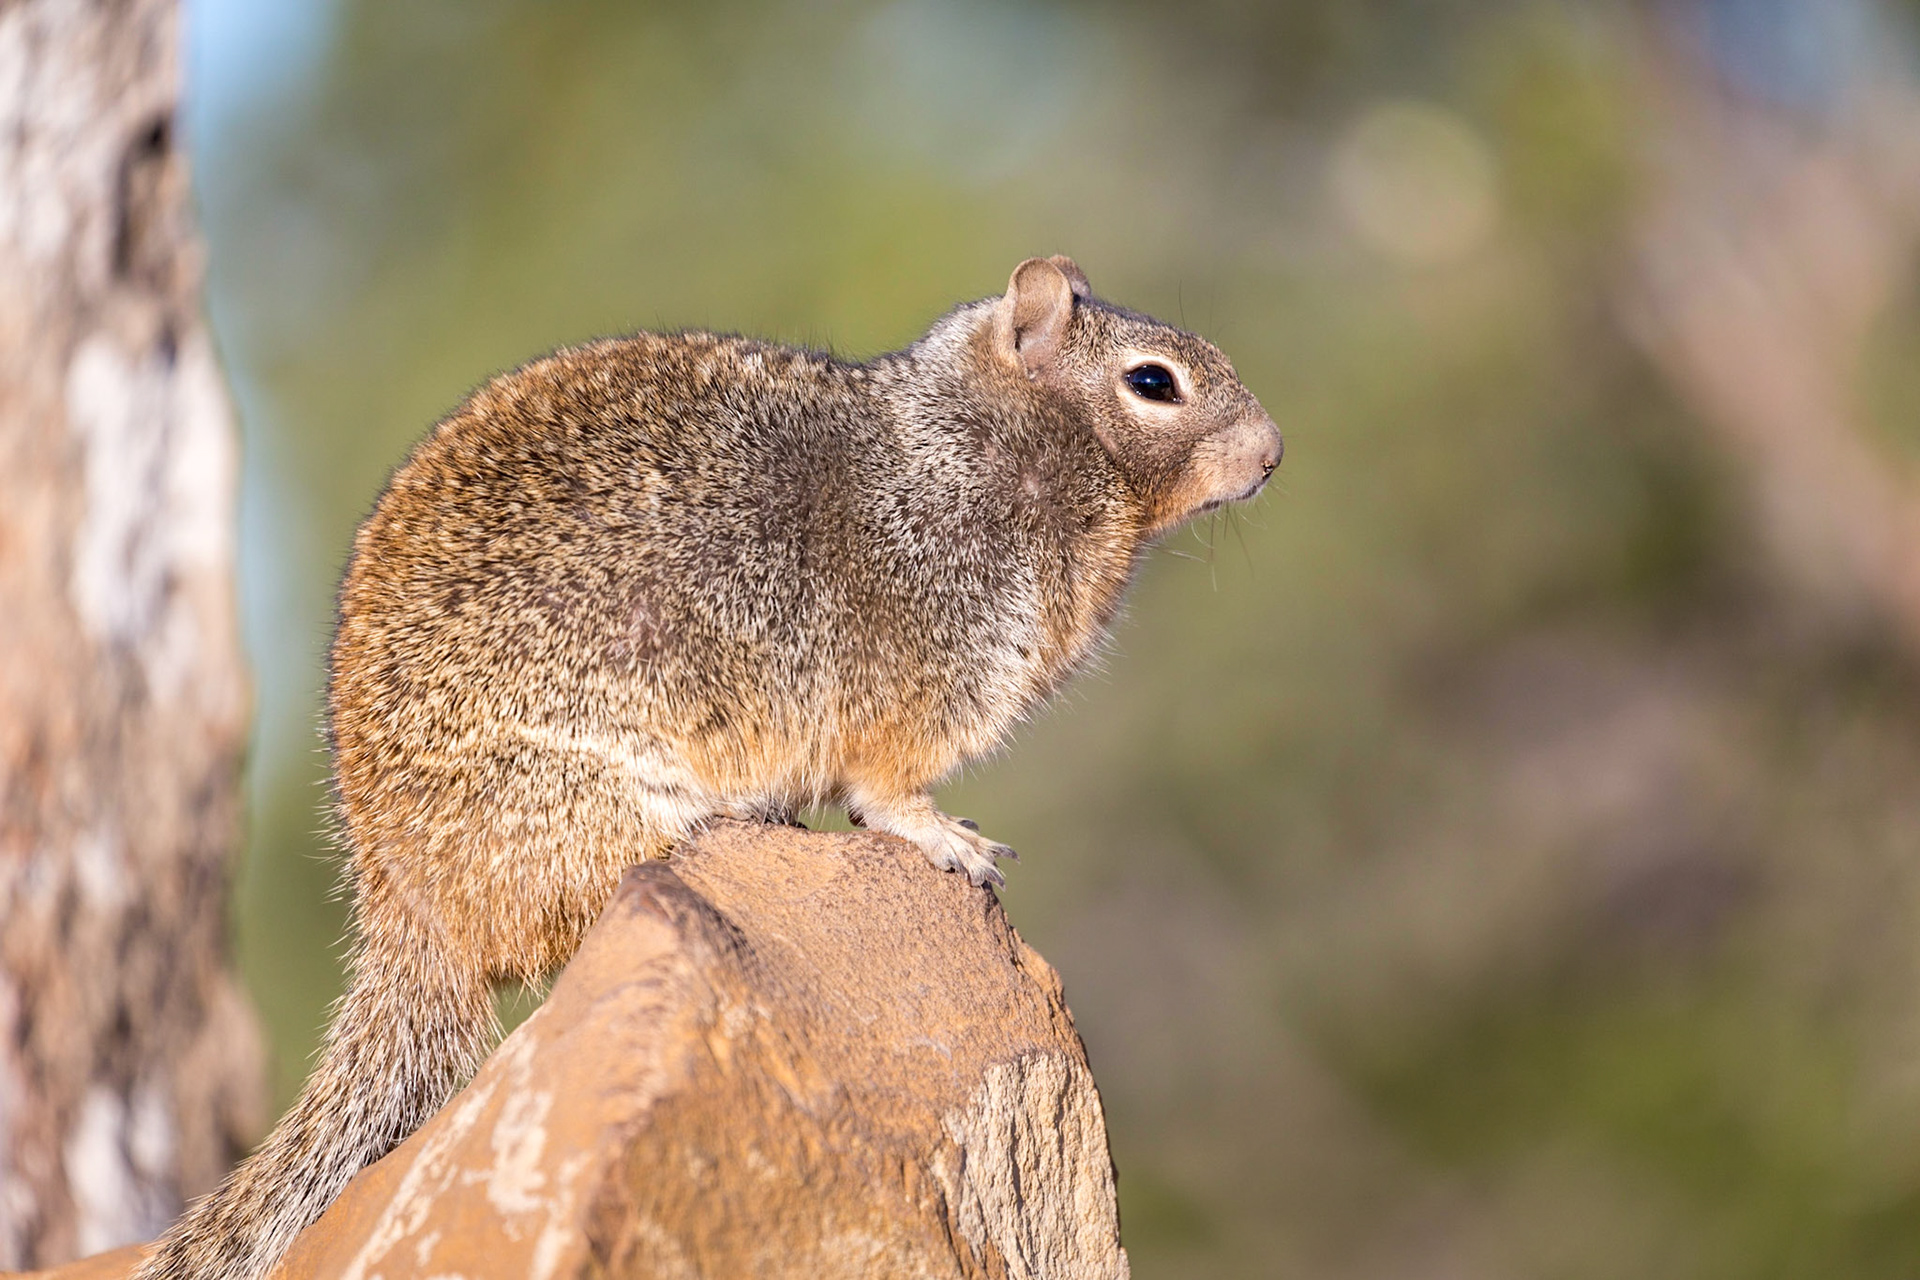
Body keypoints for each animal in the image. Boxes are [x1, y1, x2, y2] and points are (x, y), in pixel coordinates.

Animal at [136, 255, 1281, 1280]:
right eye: (1153, 381)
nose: (1273, 454)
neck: (983, 444)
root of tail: (401, 902)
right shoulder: (926, 668)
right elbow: (887, 790)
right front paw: (946, 837)